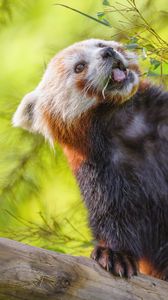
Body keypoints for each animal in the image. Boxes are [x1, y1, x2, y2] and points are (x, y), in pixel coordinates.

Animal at [12, 38, 168, 280]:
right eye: (79, 67)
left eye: (100, 44)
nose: (108, 52)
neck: (130, 126)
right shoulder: (101, 172)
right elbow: (112, 217)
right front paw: (115, 253)